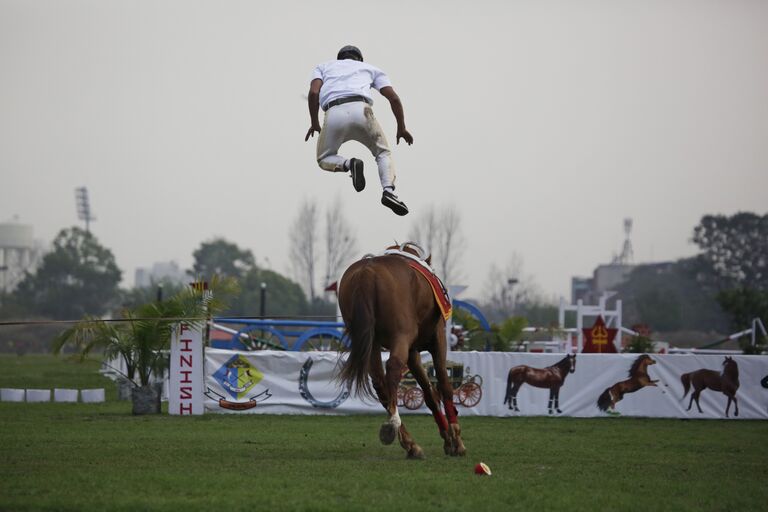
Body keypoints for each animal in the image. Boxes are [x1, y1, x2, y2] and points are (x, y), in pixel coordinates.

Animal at [338, 244, 468, 460]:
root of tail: (367, 272)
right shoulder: (438, 338)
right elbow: (444, 384)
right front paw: (455, 438)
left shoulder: (413, 351)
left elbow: (430, 394)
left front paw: (447, 438)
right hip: (401, 336)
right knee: (392, 370)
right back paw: (393, 426)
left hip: (372, 342)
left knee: (380, 384)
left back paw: (409, 443)